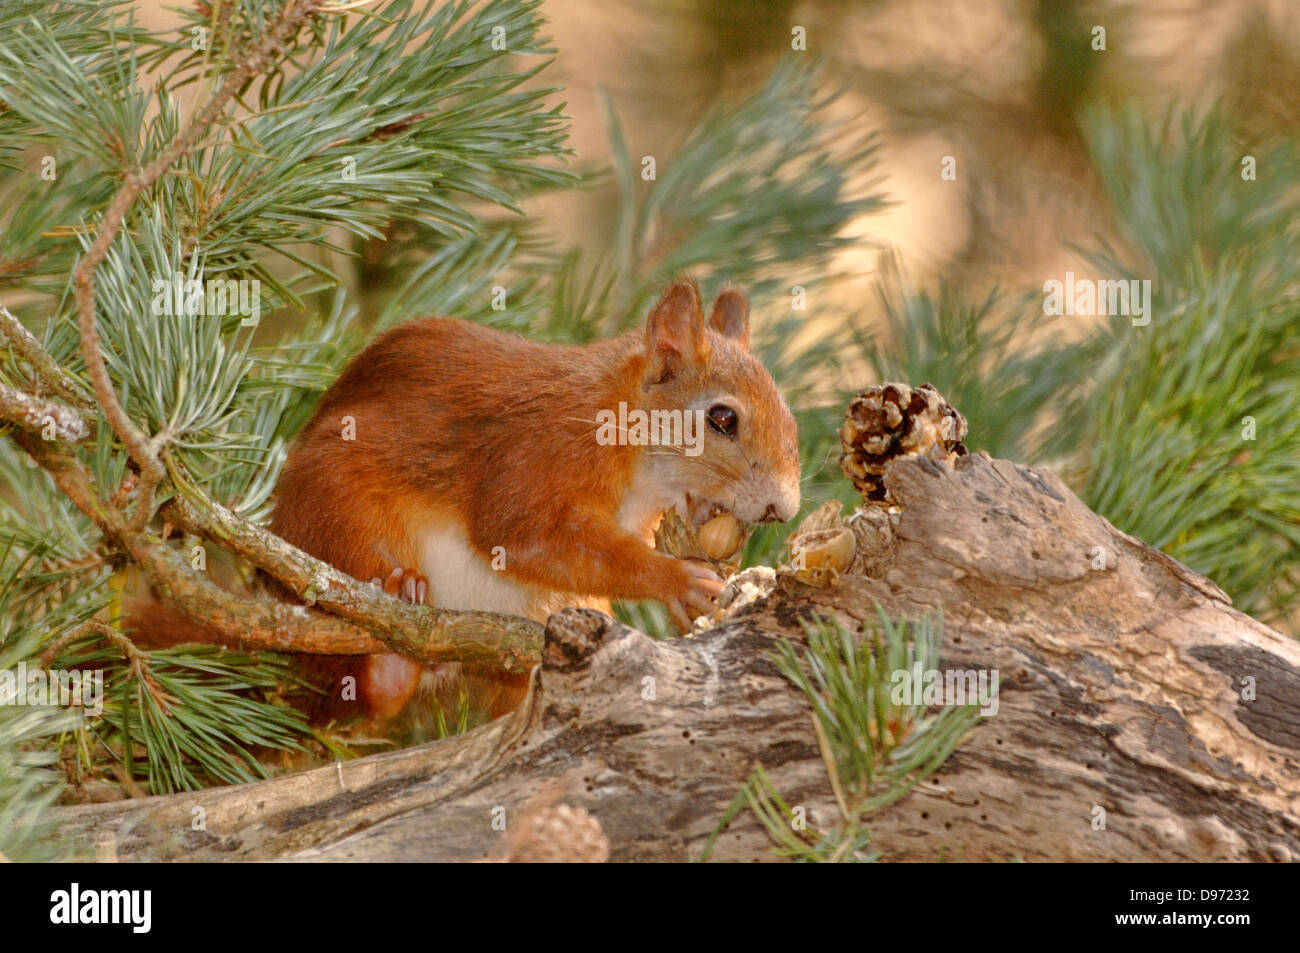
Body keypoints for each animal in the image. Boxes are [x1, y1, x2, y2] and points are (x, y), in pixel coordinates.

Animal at [202, 278, 795, 722]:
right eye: (722, 419)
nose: (783, 509)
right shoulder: (538, 455)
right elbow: (522, 538)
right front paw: (675, 579)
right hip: (333, 509)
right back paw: (392, 614)